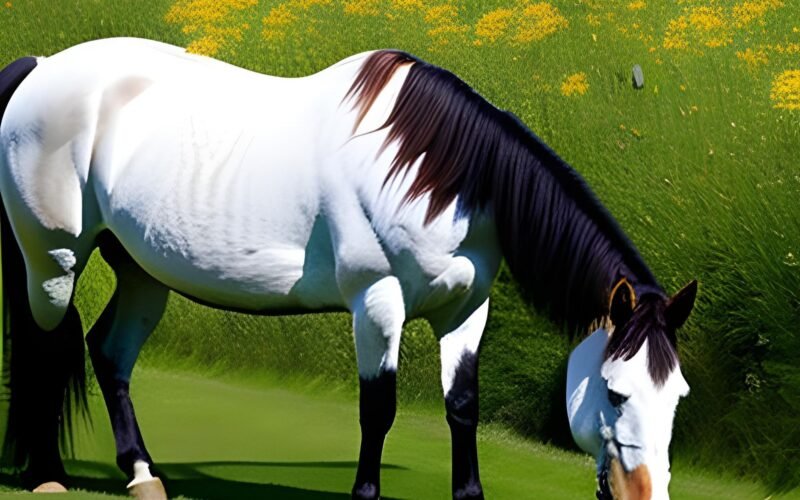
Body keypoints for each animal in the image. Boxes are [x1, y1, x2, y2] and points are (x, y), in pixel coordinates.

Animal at [0, 37, 696, 499]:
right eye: (614, 391)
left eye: (677, 396)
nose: (645, 494)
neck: (437, 174)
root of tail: (41, 69)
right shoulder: (377, 301)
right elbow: (378, 408)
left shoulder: (466, 309)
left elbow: (462, 406)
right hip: (52, 257)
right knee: (48, 343)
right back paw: (48, 477)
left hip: (144, 271)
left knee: (108, 353)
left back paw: (143, 476)